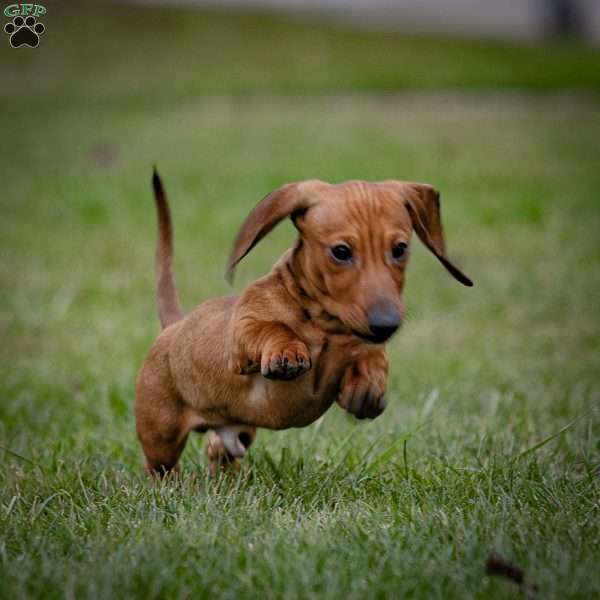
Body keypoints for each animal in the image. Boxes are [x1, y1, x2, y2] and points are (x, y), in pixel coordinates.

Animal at [136, 169, 474, 474]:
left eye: (400, 249)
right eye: (341, 251)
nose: (385, 325)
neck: (327, 327)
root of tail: (175, 326)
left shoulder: (362, 341)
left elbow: (372, 355)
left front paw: (367, 388)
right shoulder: (242, 337)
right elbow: (272, 327)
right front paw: (287, 351)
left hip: (238, 432)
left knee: (218, 450)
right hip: (161, 435)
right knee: (159, 467)